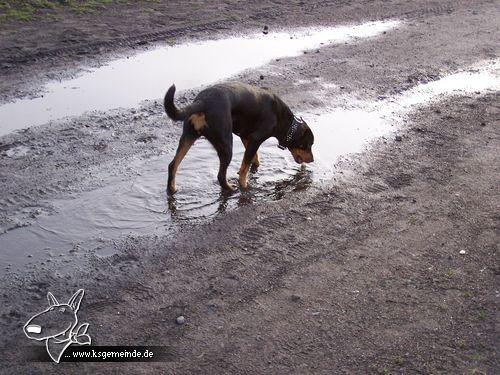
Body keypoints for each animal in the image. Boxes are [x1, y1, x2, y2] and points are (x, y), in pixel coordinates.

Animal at [164, 83, 312, 194]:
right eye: (308, 145)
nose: (312, 160)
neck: (285, 121)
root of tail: (203, 102)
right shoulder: (256, 139)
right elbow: (245, 168)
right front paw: (244, 185)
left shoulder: (246, 137)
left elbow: (252, 159)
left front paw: (253, 169)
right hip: (226, 145)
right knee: (220, 176)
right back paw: (231, 189)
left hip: (188, 137)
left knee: (173, 165)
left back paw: (172, 189)